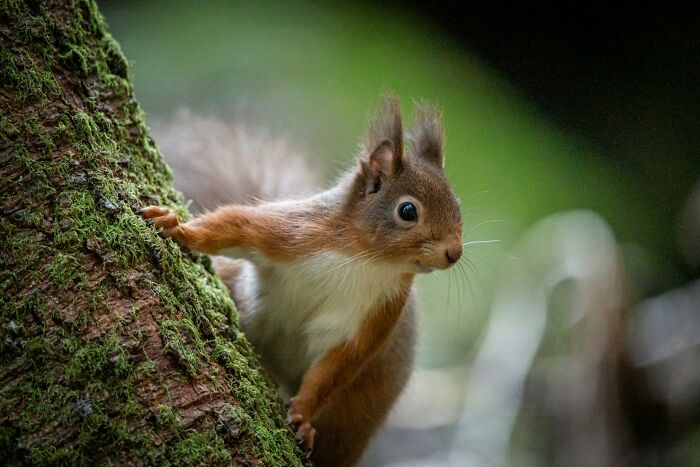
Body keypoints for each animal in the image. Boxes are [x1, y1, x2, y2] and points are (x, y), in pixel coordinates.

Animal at [142, 95, 463, 466]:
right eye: (408, 211)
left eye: (458, 206)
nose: (454, 253)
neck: (366, 261)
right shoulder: (294, 232)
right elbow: (237, 224)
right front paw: (178, 227)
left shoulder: (375, 317)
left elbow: (333, 371)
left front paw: (303, 418)